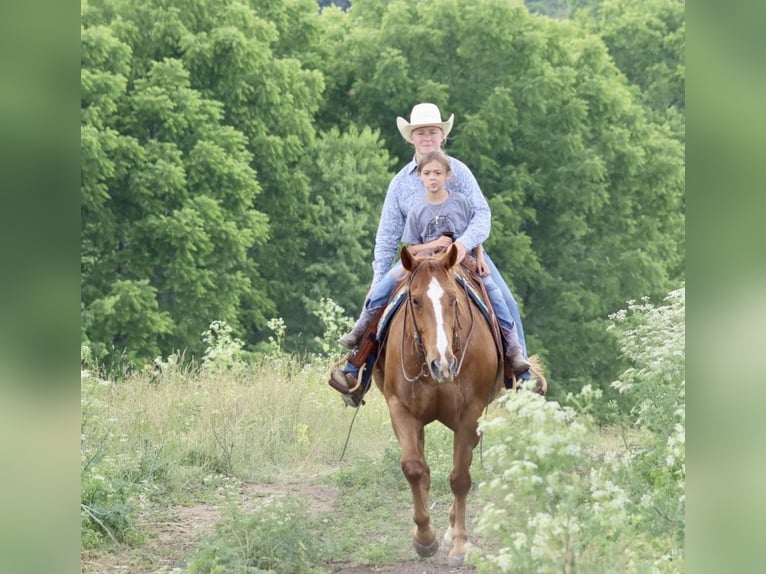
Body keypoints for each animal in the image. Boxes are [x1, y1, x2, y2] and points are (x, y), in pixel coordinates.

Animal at [372, 244, 544, 568]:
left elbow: (460, 478)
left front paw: (460, 544)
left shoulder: (469, 416)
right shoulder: (400, 409)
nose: (443, 363)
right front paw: (424, 538)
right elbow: (414, 468)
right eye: (415, 300)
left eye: (453, 298)